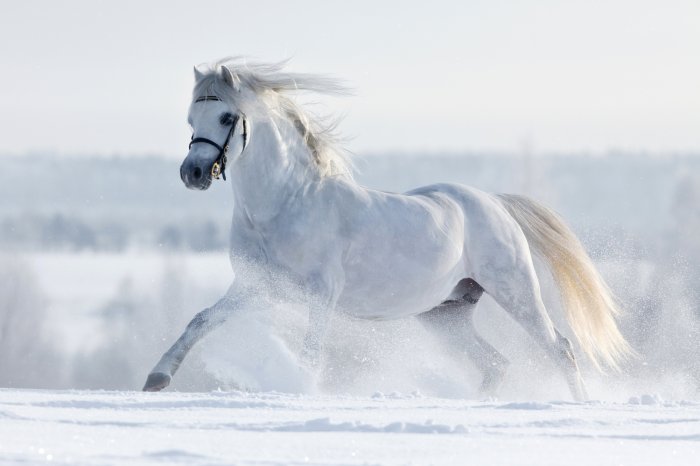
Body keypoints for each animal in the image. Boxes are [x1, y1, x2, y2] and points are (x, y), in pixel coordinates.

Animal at [143, 59, 632, 400]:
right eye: (191, 120)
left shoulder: (320, 294)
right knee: (496, 364)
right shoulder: (256, 287)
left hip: (516, 292)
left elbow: (310, 354)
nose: (192, 173)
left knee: (560, 348)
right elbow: (200, 321)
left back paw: (581, 406)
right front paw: (156, 379)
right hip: (445, 314)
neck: (283, 206)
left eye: (227, 118)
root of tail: (494, 203)